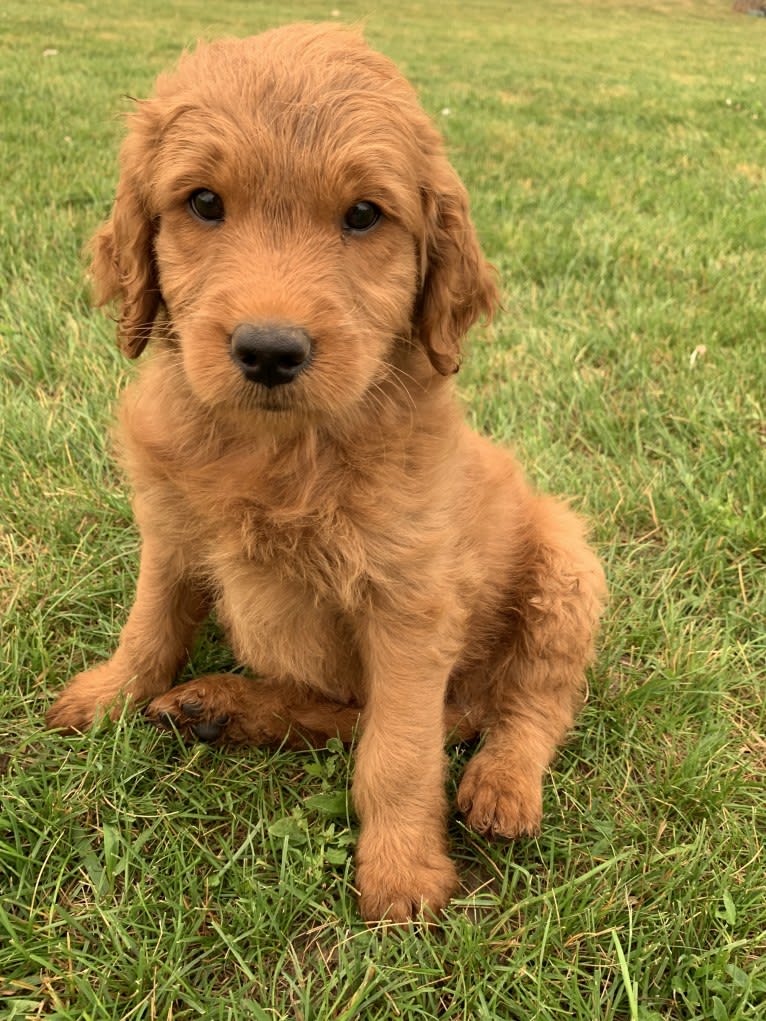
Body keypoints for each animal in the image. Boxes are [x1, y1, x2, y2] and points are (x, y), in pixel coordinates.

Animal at [49, 23, 612, 922]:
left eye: (363, 215)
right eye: (203, 203)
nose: (270, 350)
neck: (278, 448)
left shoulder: (410, 605)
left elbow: (401, 751)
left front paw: (403, 875)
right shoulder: (170, 534)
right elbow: (149, 628)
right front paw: (108, 695)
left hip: (565, 562)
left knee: (531, 701)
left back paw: (502, 782)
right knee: (352, 713)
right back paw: (223, 706)